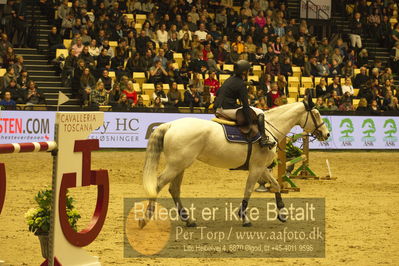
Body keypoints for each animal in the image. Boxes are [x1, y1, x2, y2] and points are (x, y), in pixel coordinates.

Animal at [142, 97, 330, 227]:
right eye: (316, 114)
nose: (326, 134)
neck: (267, 129)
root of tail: (171, 125)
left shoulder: (262, 167)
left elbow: (276, 185)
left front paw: (282, 213)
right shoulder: (256, 168)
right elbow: (248, 190)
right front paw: (244, 217)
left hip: (181, 166)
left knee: (174, 189)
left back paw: (188, 220)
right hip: (176, 165)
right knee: (157, 184)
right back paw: (146, 217)